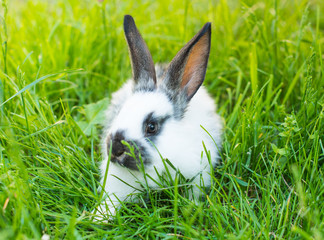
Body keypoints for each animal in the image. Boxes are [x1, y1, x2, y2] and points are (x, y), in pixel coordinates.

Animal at [92, 15, 221, 220]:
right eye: (120, 113)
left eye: (151, 127)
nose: (115, 149)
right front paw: (98, 218)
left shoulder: (199, 173)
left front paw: (191, 210)